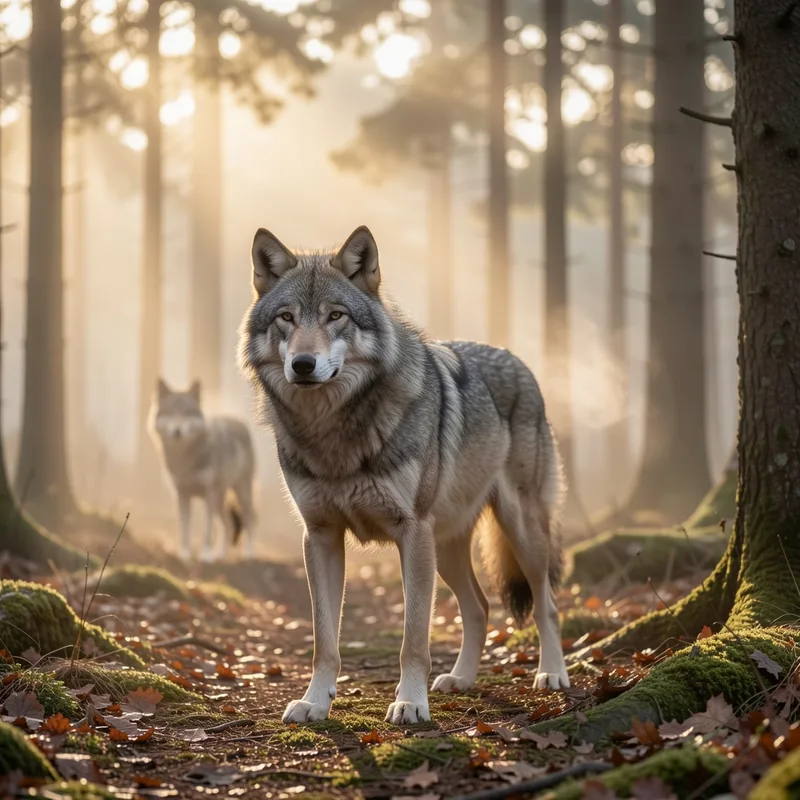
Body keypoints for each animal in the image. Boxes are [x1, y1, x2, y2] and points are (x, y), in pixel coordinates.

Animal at [149, 379, 258, 563]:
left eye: (187, 413)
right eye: (170, 413)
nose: (177, 431)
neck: (185, 460)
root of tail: (239, 421)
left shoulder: (208, 494)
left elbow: (207, 529)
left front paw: (205, 555)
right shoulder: (182, 495)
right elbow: (184, 528)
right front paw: (184, 554)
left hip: (240, 494)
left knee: (249, 522)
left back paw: (248, 556)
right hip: (220, 501)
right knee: (228, 525)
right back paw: (220, 555)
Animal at [238, 225, 569, 725]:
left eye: (336, 315)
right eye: (286, 318)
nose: (303, 365)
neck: (334, 431)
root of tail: (516, 360)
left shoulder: (411, 532)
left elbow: (413, 638)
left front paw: (411, 702)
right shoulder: (320, 536)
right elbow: (324, 641)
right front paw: (315, 702)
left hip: (516, 532)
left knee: (546, 604)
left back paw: (551, 674)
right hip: (445, 548)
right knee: (479, 607)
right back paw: (462, 679)